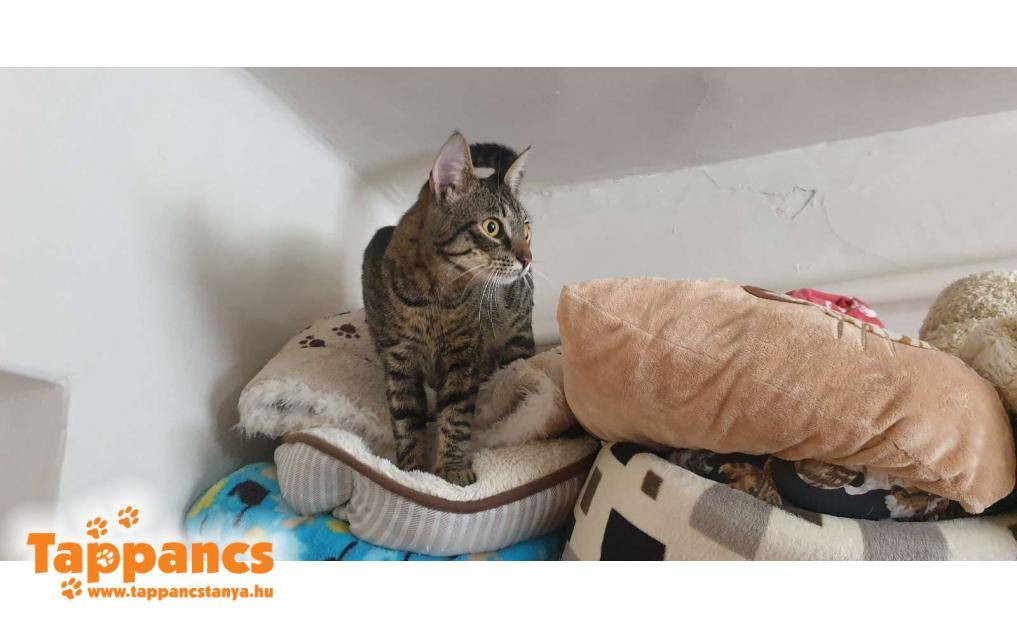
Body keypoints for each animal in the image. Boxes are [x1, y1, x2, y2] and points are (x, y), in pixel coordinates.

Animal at [361, 132, 536, 485]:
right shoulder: (399, 359)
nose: (528, 258)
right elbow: (405, 419)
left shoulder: (464, 356)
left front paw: (453, 468)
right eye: (492, 227)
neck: (436, 298)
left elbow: (456, 414)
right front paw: (410, 472)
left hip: (517, 339)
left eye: (526, 230)